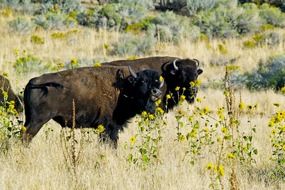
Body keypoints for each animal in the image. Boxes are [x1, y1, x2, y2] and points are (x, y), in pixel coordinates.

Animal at [23, 64, 163, 146]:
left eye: (157, 82)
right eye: (143, 81)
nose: (156, 92)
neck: (124, 86)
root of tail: (32, 81)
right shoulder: (109, 127)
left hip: (30, 119)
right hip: (37, 121)